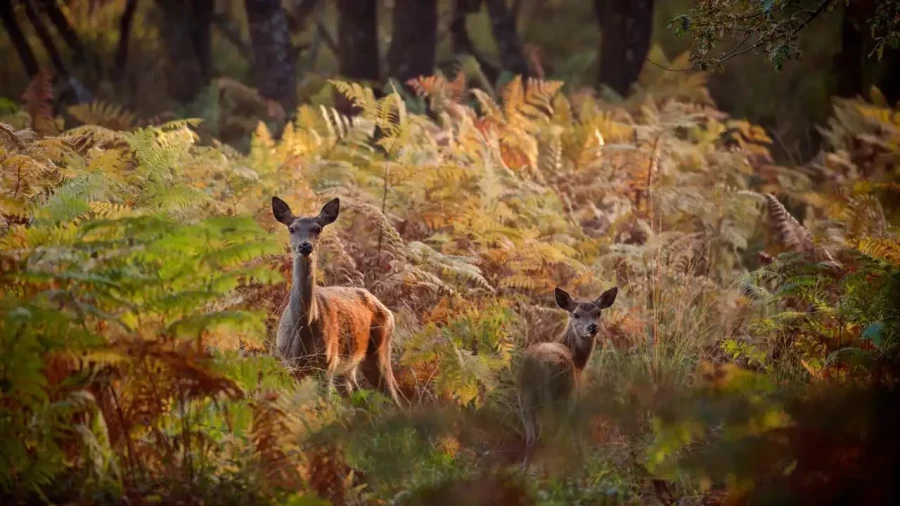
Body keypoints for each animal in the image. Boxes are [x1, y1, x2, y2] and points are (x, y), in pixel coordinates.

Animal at [271, 196, 404, 408]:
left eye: (318, 228)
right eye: (291, 228)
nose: (305, 246)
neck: (304, 328)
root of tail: (386, 310)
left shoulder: (327, 365)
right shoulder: (289, 365)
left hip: (380, 350)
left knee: (395, 397)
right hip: (348, 369)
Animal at [517, 285, 618, 470]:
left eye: (598, 312)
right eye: (576, 314)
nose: (592, 327)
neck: (578, 362)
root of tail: (540, 365)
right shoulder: (575, 396)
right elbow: (576, 434)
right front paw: (584, 462)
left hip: (524, 397)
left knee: (531, 437)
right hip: (557, 395)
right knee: (551, 433)